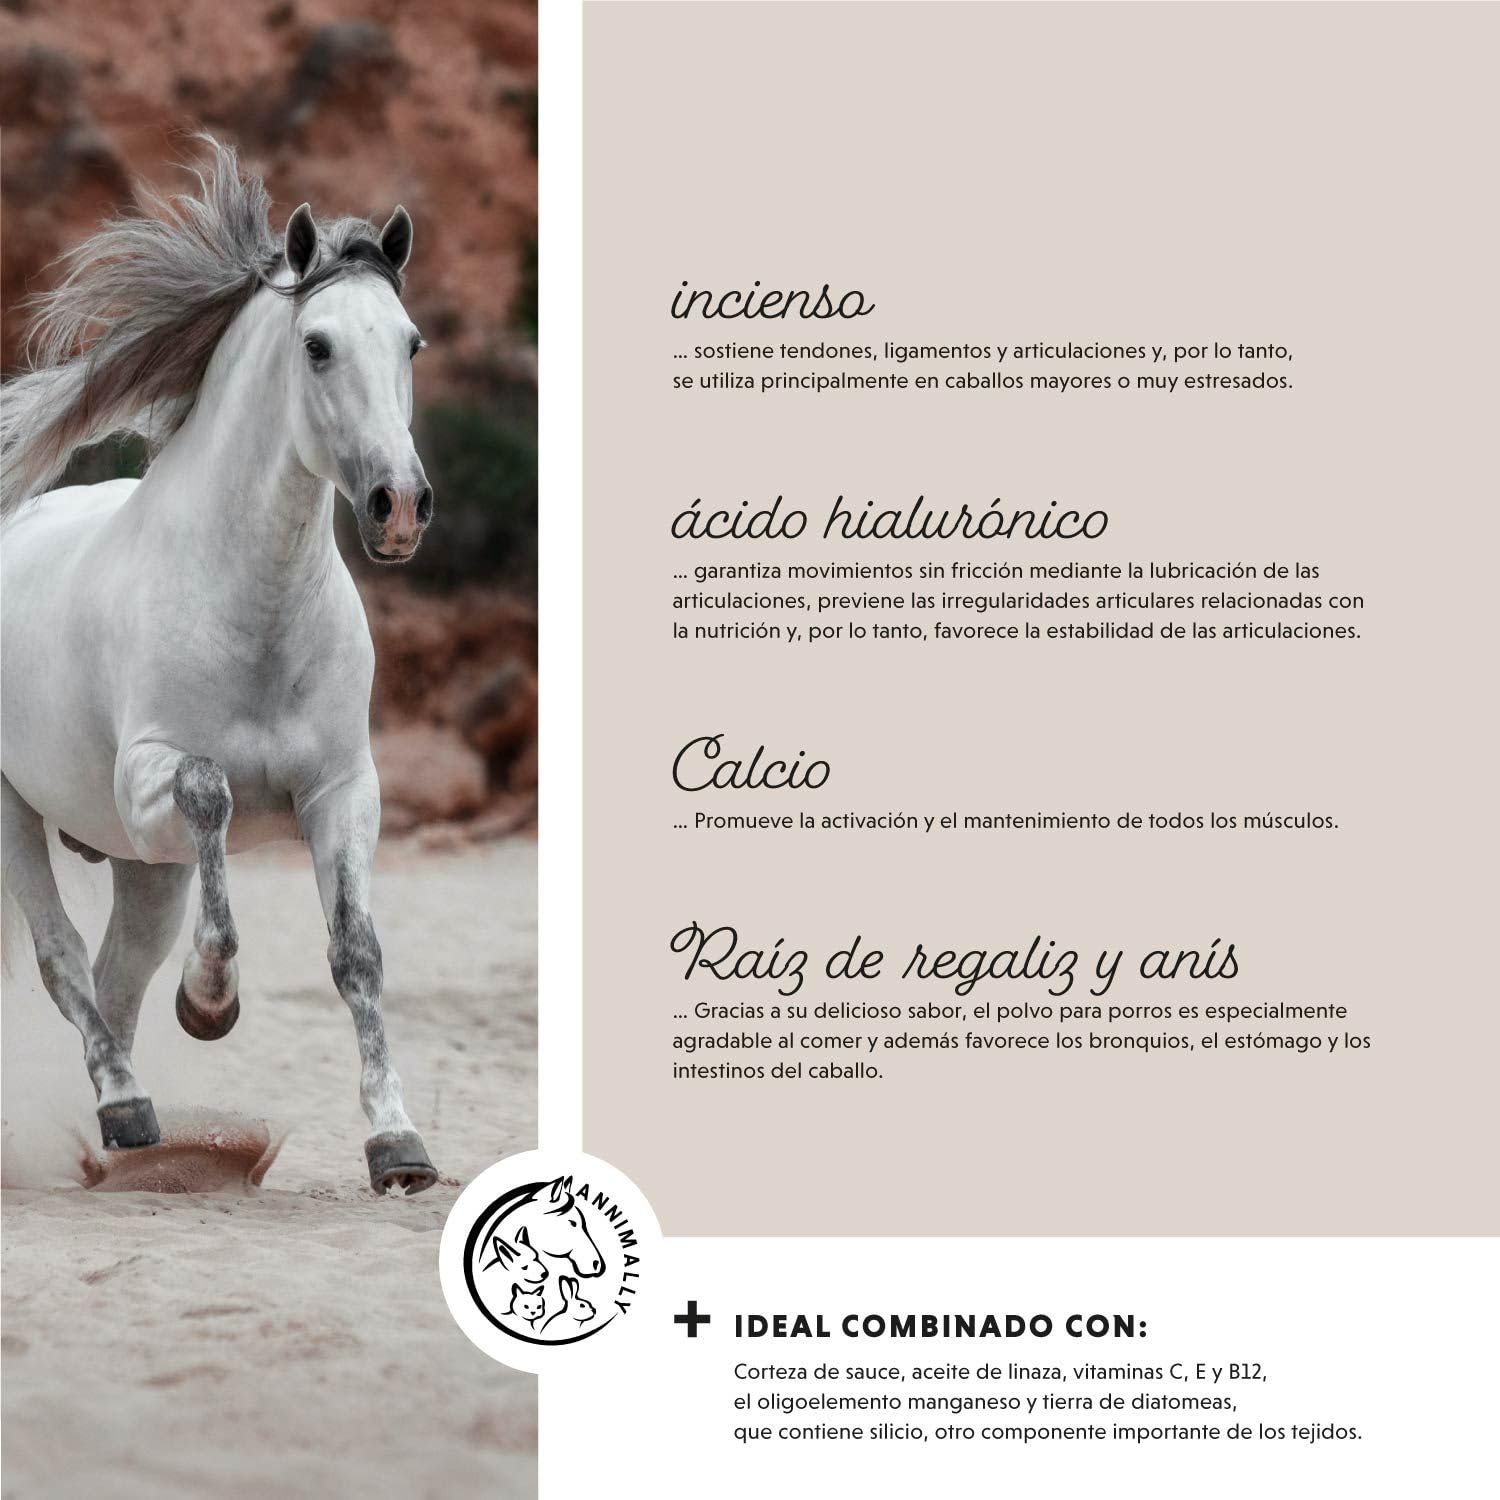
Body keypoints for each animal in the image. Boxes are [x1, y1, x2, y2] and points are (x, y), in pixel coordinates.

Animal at [0, 138, 440, 1194]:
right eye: (317, 345)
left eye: (409, 344)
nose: (400, 507)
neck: (257, 610)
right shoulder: (150, 779)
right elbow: (213, 794)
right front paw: (209, 1002)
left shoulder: (342, 791)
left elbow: (357, 954)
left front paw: (397, 1143)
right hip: (22, 817)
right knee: (64, 959)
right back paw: (126, 1107)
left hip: (141, 870)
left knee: (114, 978)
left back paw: (119, 1134)